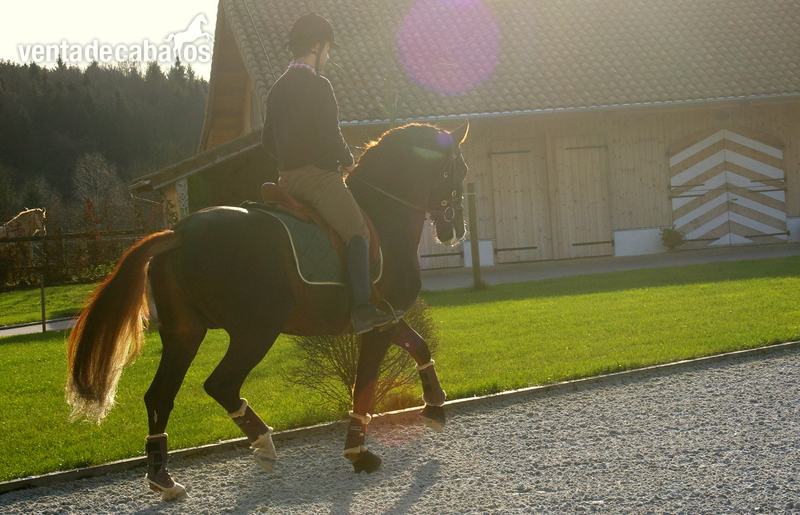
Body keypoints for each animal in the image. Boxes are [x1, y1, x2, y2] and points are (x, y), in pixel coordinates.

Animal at [66, 121, 469, 501]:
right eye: (460, 171)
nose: (455, 231)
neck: (382, 212)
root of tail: (181, 232)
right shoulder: (376, 327)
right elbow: (364, 387)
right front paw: (358, 452)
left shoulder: (389, 317)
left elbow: (420, 347)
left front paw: (435, 407)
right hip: (256, 332)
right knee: (221, 384)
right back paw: (263, 444)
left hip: (185, 334)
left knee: (159, 396)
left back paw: (163, 478)